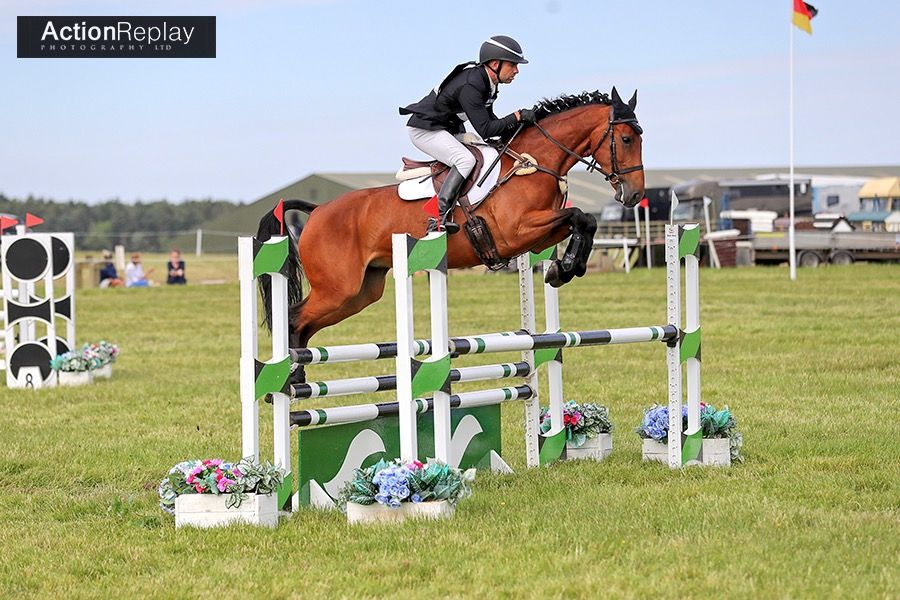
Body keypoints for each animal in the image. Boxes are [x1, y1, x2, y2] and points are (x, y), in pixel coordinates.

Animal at [256, 86, 644, 382]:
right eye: (626, 138)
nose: (634, 195)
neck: (531, 163)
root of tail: (318, 211)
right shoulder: (517, 232)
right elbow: (580, 216)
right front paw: (564, 268)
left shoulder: (539, 234)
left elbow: (584, 221)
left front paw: (563, 268)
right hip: (338, 288)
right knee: (295, 318)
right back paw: (290, 376)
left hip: (360, 292)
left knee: (306, 324)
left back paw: (298, 374)